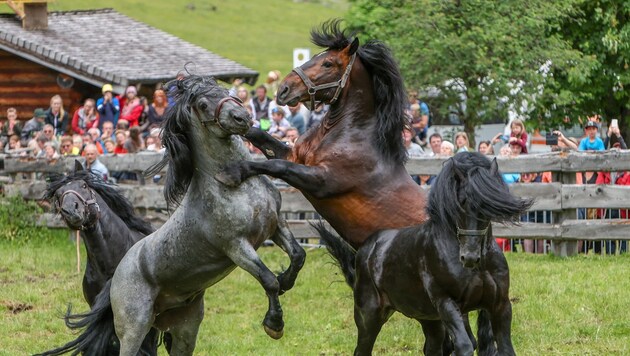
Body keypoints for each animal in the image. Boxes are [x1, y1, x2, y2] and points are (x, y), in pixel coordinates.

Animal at [38, 75, 308, 356]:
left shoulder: (276, 224)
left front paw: (286, 280)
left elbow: (298, 255)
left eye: (224, 90)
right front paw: (274, 324)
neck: (235, 184)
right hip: (134, 328)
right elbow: (268, 280)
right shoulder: (236, 246)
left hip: (183, 330)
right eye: (202, 104)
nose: (241, 117)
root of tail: (117, 275)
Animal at [217, 18, 430, 249]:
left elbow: (277, 166)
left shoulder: (322, 180)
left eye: (328, 64)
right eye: (314, 57)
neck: (348, 134)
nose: (283, 90)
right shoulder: (294, 156)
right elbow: (260, 137)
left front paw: (233, 171)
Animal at [320, 152, 532, 356]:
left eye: (487, 206)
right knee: (362, 350)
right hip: (369, 317)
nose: (470, 257)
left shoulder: (500, 305)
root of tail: (366, 249)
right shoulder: (447, 303)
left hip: (429, 319)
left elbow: (506, 349)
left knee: (432, 348)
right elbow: (464, 346)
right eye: (461, 202)